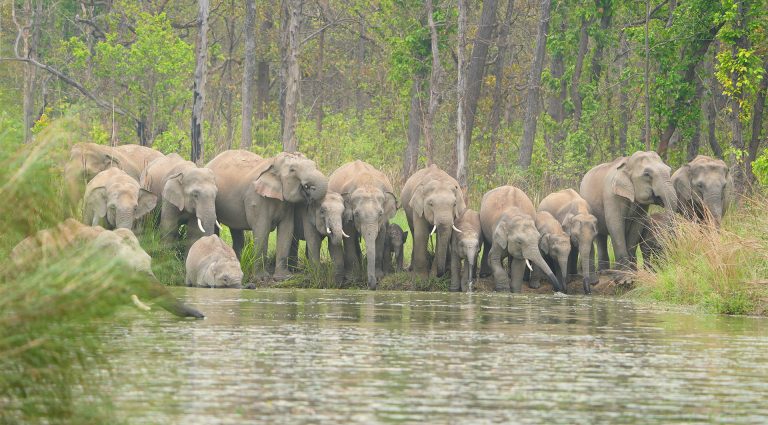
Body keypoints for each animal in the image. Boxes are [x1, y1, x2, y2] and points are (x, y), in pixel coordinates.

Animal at [207, 150, 328, 281]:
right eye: (292, 170)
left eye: (314, 164)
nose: (309, 189)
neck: (272, 163)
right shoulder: (256, 198)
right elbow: (262, 229)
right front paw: (262, 278)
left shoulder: (287, 204)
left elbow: (287, 230)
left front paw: (283, 277)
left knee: (236, 230)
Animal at [328, 161, 397, 289]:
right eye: (356, 214)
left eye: (380, 213)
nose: (371, 286)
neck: (367, 183)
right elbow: (349, 233)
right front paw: (352, 279)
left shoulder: (382, 220)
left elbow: (381, 235)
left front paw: (379, 277)